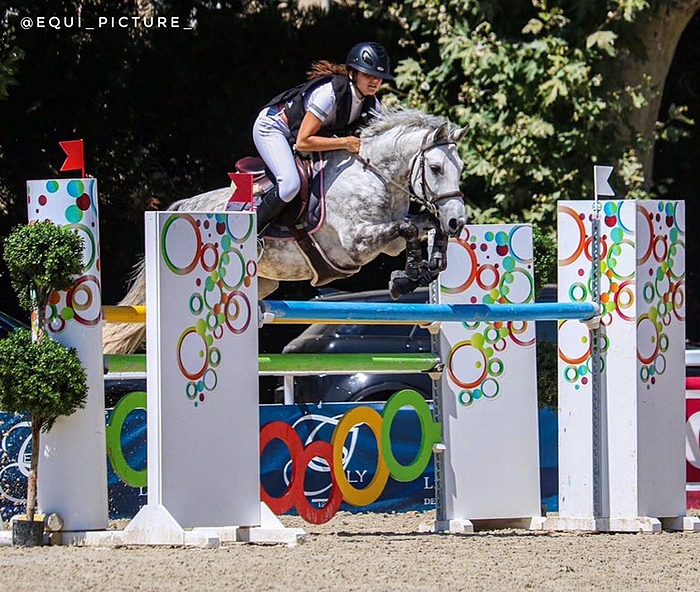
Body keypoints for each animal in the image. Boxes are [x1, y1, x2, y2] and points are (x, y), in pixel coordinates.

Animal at [102, 108, 464, 354]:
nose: (458, 221)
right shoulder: (355, 243)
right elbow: (406, 228)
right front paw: (405, 278)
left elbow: (422, 227)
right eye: (435, 168)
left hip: (264, 282)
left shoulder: (389, 240)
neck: (373, 174)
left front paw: (427, 267)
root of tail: (186, 206)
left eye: (459, 168)